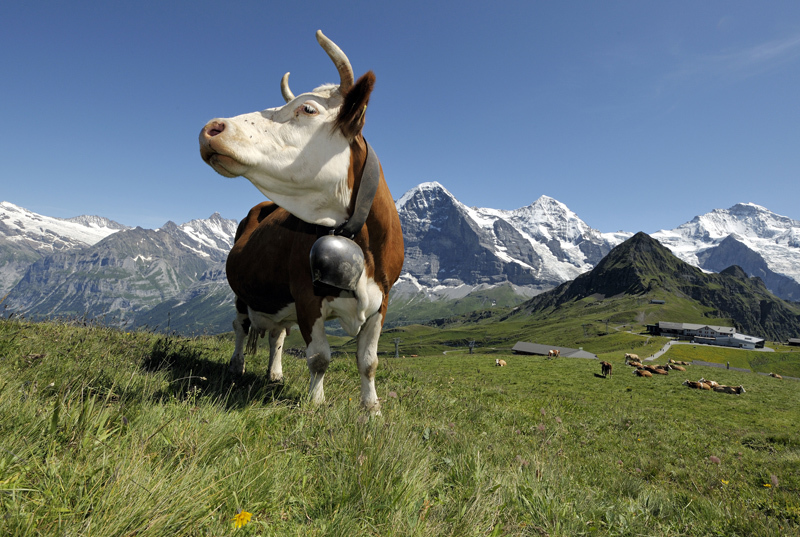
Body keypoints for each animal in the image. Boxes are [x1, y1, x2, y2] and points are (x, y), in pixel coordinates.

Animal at [198, 30, 404, 414]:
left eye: (308, 109)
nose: (210, 128)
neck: (362, 242)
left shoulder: (382, 299)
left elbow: (369, 361)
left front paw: (372, 410)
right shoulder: (307, 297)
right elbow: (319, 357)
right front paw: (316, 404)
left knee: (277, 334)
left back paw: (275, 373)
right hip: (240, 292)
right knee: (240, 325)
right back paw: (237, 366)